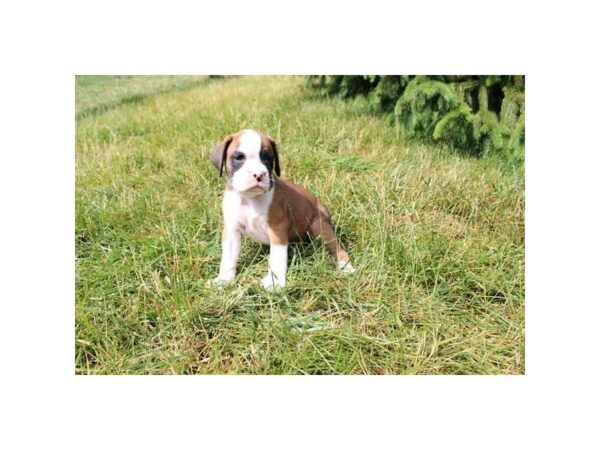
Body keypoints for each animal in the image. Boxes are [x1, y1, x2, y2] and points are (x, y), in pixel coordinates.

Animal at [209, 128, 354, 290]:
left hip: (320, 227)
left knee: (337, 249)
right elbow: (228, 258)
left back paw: (346, 267)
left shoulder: (278, 229)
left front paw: (274, 282)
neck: (250, 199)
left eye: (268, 158)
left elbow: (277, 258)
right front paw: (224, 280)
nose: (259, 174)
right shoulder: (232, 230)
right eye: (239, 157)